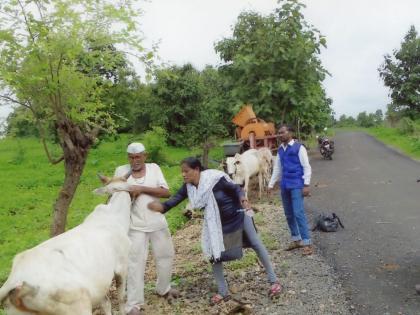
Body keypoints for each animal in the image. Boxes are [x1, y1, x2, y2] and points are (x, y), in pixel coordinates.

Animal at [0, 177, 133, 315]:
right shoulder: (122, 265)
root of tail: (15, 279)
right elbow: (121, 298)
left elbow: (106, 303)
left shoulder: (100, 284)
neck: (113, 216)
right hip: (78, 305)